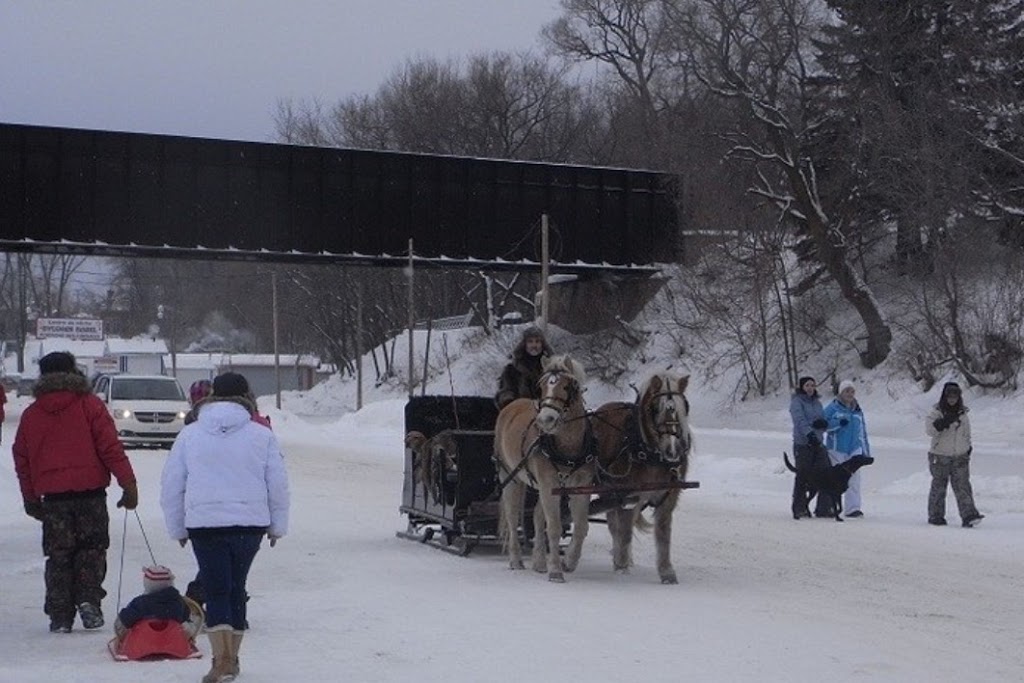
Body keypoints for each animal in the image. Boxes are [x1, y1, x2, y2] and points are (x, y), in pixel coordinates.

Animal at [493, 352, 598, 581]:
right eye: (541, 387)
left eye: (567, 386)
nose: (546, 420)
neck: (568, 446)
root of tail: (511, 406)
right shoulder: (549, 486)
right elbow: (555, 527)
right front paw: (556, 571)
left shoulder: (579, 487)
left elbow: (581, 526)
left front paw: (569, 561)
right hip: (510, 477)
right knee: (513, 518)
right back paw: (516, 560)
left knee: (536, 517)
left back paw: (540, 562)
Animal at [589, 370, 692, 585]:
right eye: (655, 408)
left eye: (684, 407)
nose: (672, 451)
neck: (650, 454)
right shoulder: (628, 496)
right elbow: (625, 532)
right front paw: (622, 567)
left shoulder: (668, 497)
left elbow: (663, 534)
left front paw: (667, 572)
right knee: (614, 525)